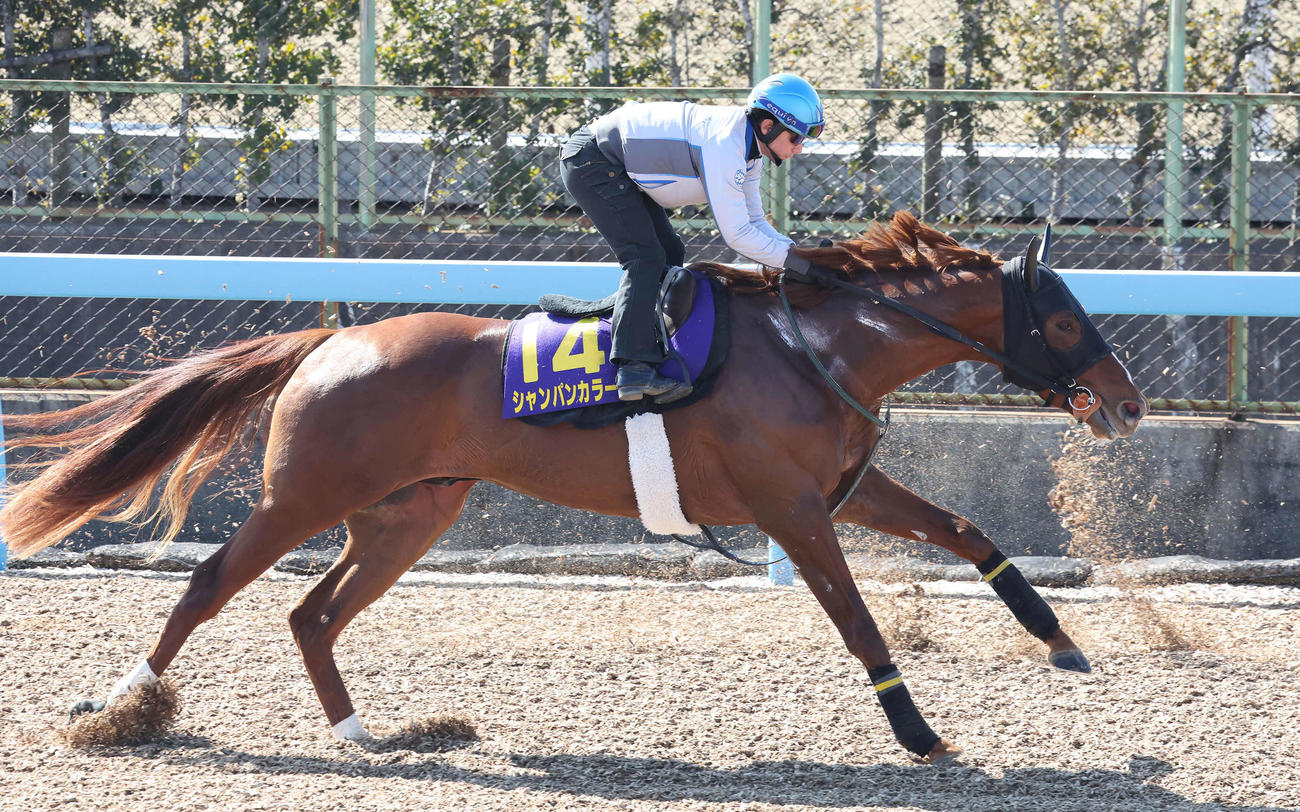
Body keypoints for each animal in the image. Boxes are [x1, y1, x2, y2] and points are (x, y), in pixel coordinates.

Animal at [0, 211, 1146, 763]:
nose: (1125, 403)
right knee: (207, 588)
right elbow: (858, 619)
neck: (815, 346)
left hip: (409, 514)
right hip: (305, 496)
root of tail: (330, 341)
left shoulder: (840, 487)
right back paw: (117, 707)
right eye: (1058, 319)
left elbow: (964, 527)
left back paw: (367, 733)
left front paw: (1059, 638)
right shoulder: (788, 508)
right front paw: (917, 734)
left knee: (309, 612)